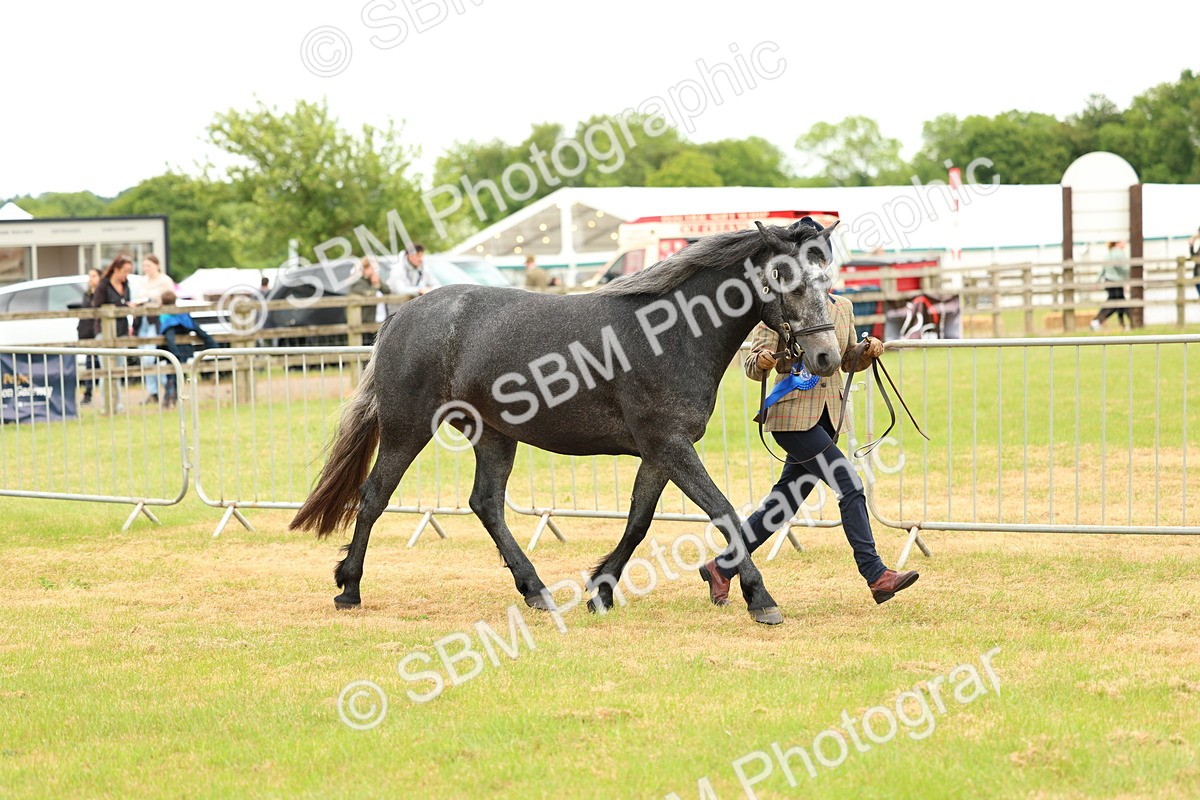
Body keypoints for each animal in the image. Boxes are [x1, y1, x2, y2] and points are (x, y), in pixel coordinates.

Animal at [290, 220, 842, 624]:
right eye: (787, 280)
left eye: (828, 282)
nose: (826, 357)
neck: (672, 333)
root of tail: (399, 317)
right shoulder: (671, 445)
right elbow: (723, 511)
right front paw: (761, 599)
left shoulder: (660, 452)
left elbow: (638, 521)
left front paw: (600, 591)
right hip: (408, 429)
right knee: (374, 496)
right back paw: (349, 587)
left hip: (494, 436)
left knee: (485, 504)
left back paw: (535, 591)